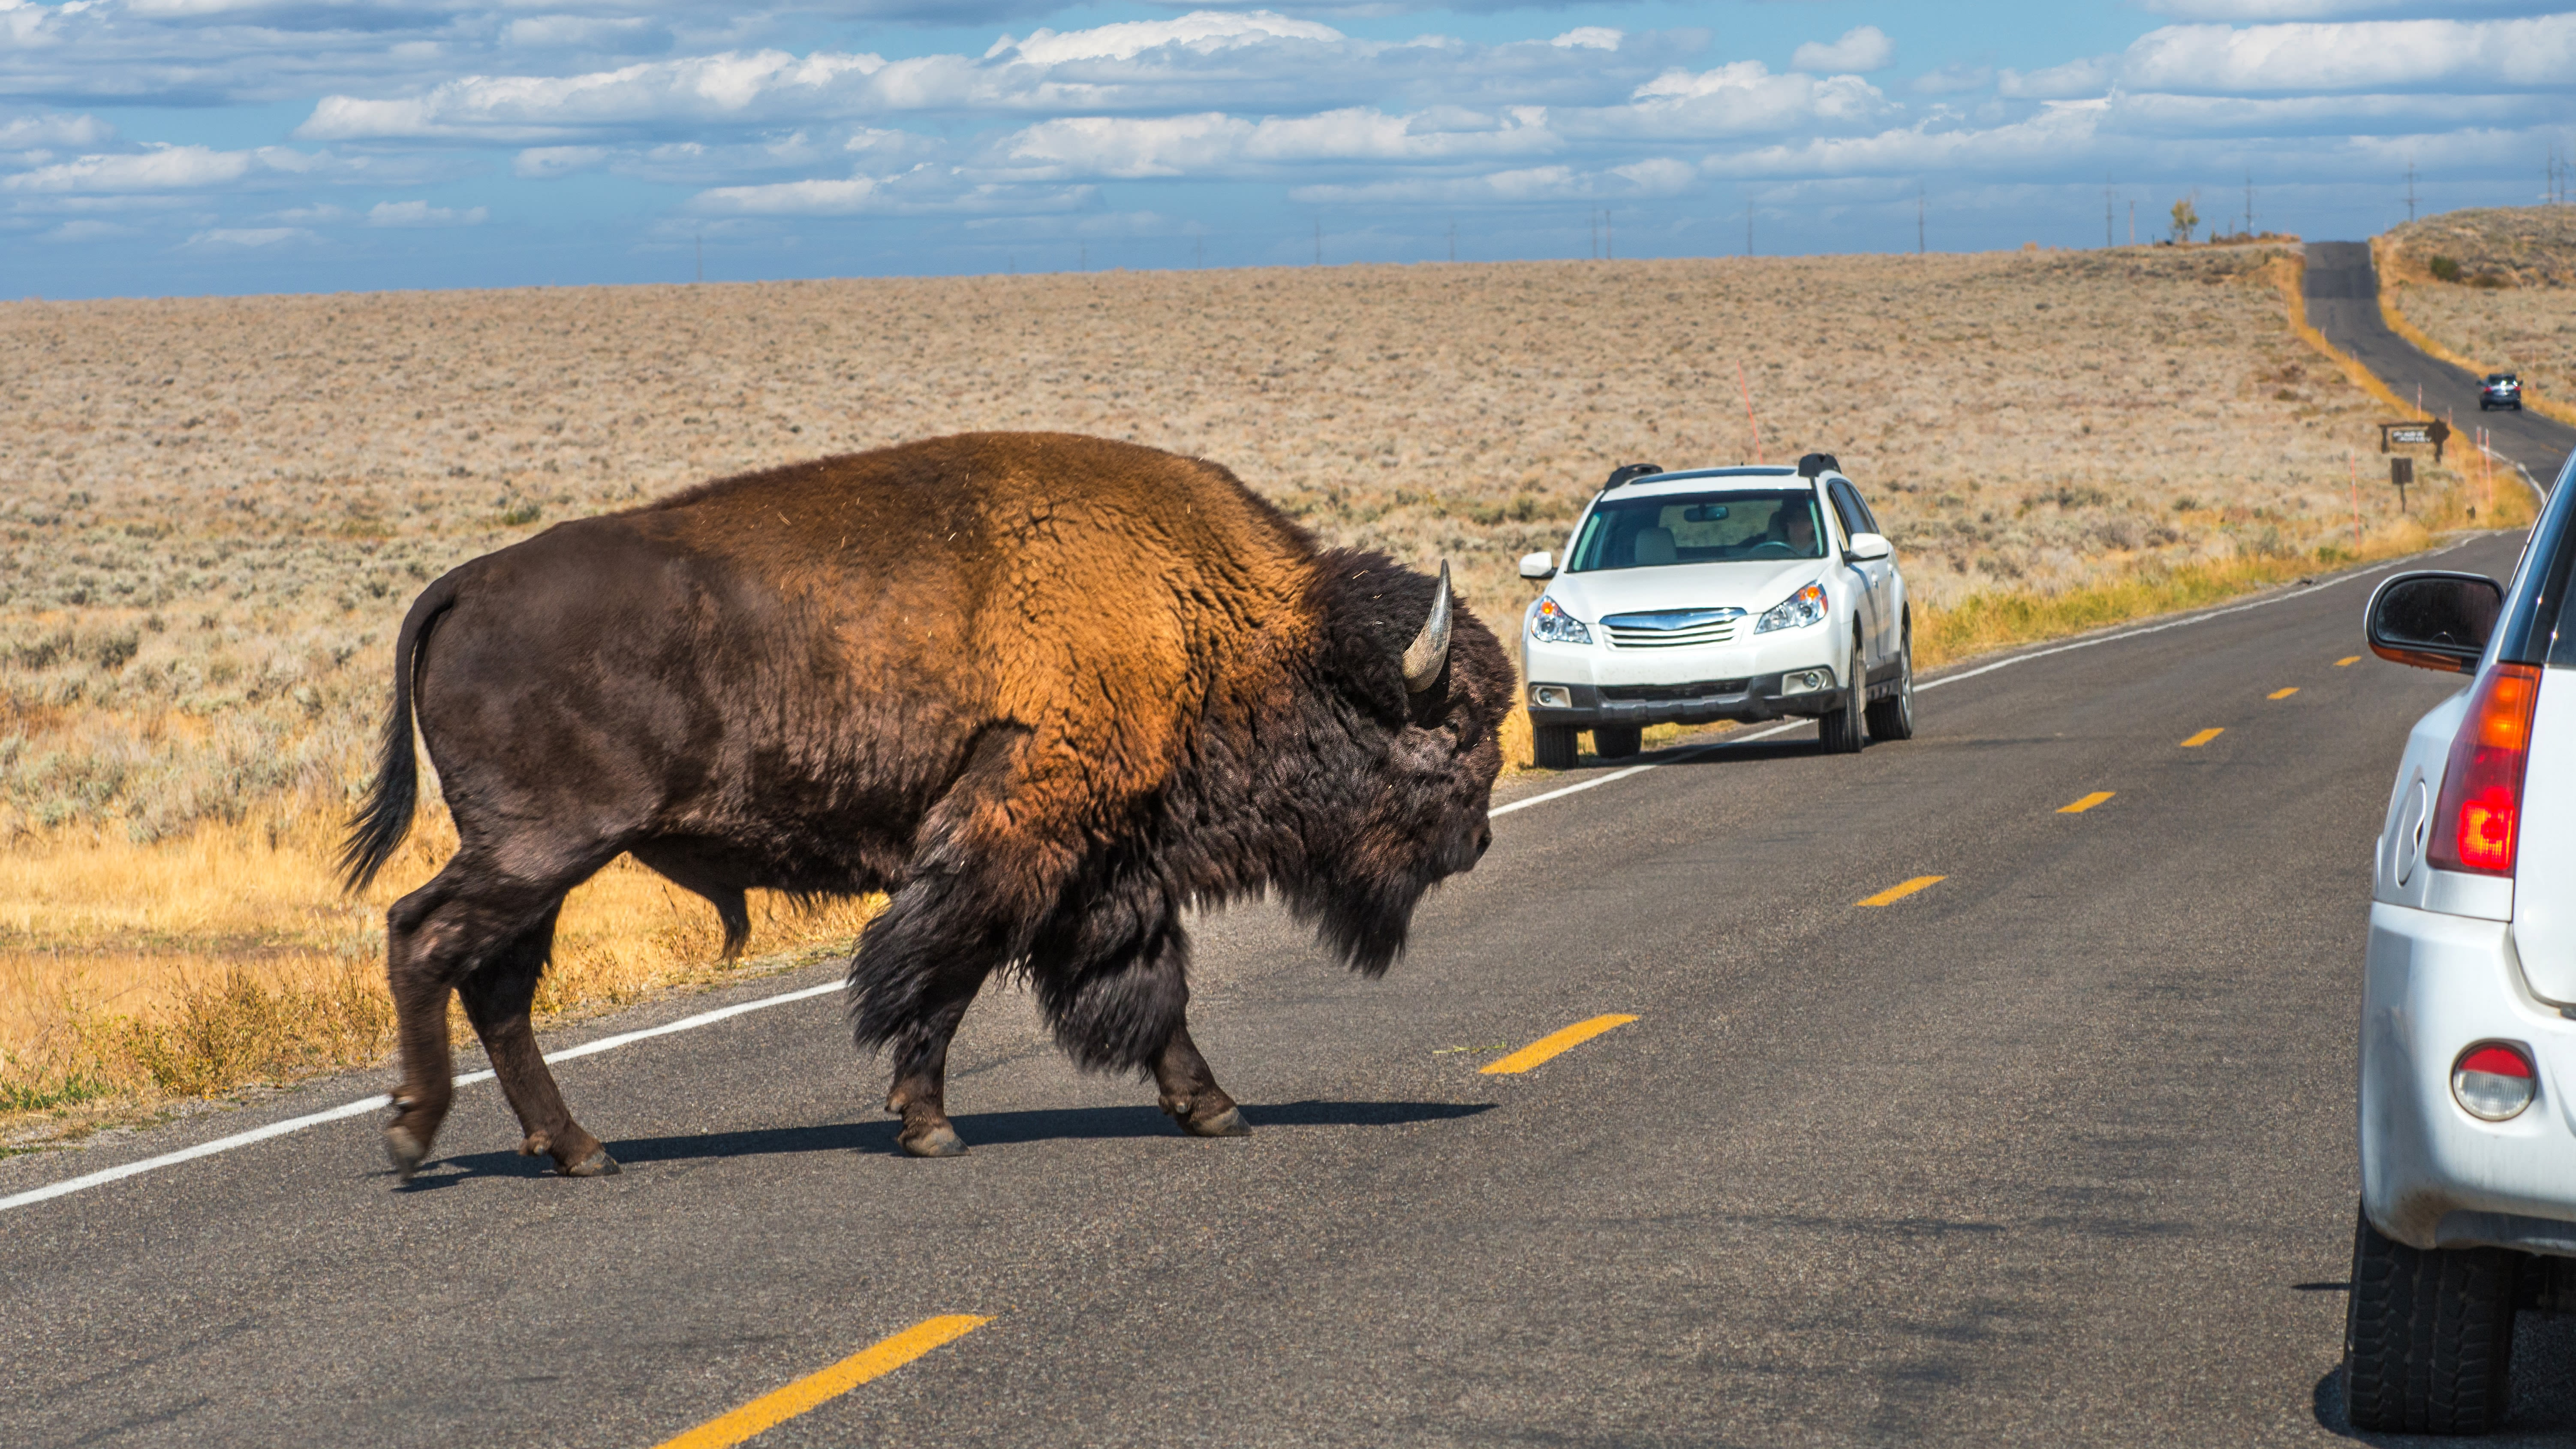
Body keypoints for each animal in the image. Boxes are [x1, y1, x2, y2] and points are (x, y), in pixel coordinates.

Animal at [340, 425, 1504, 1175]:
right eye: (1448, 732)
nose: (1477, 843)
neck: (1208, 621)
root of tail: (463, 582)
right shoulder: (1011, 843)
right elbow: (940, 975)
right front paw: (929, 1124)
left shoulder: (1106, 864)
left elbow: (1145, 985)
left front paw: (1211, 1108)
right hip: (543, 847)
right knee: (425, 935)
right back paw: (416, 1132)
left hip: (544, 864)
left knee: (495, 983)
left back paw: (576, 1149)